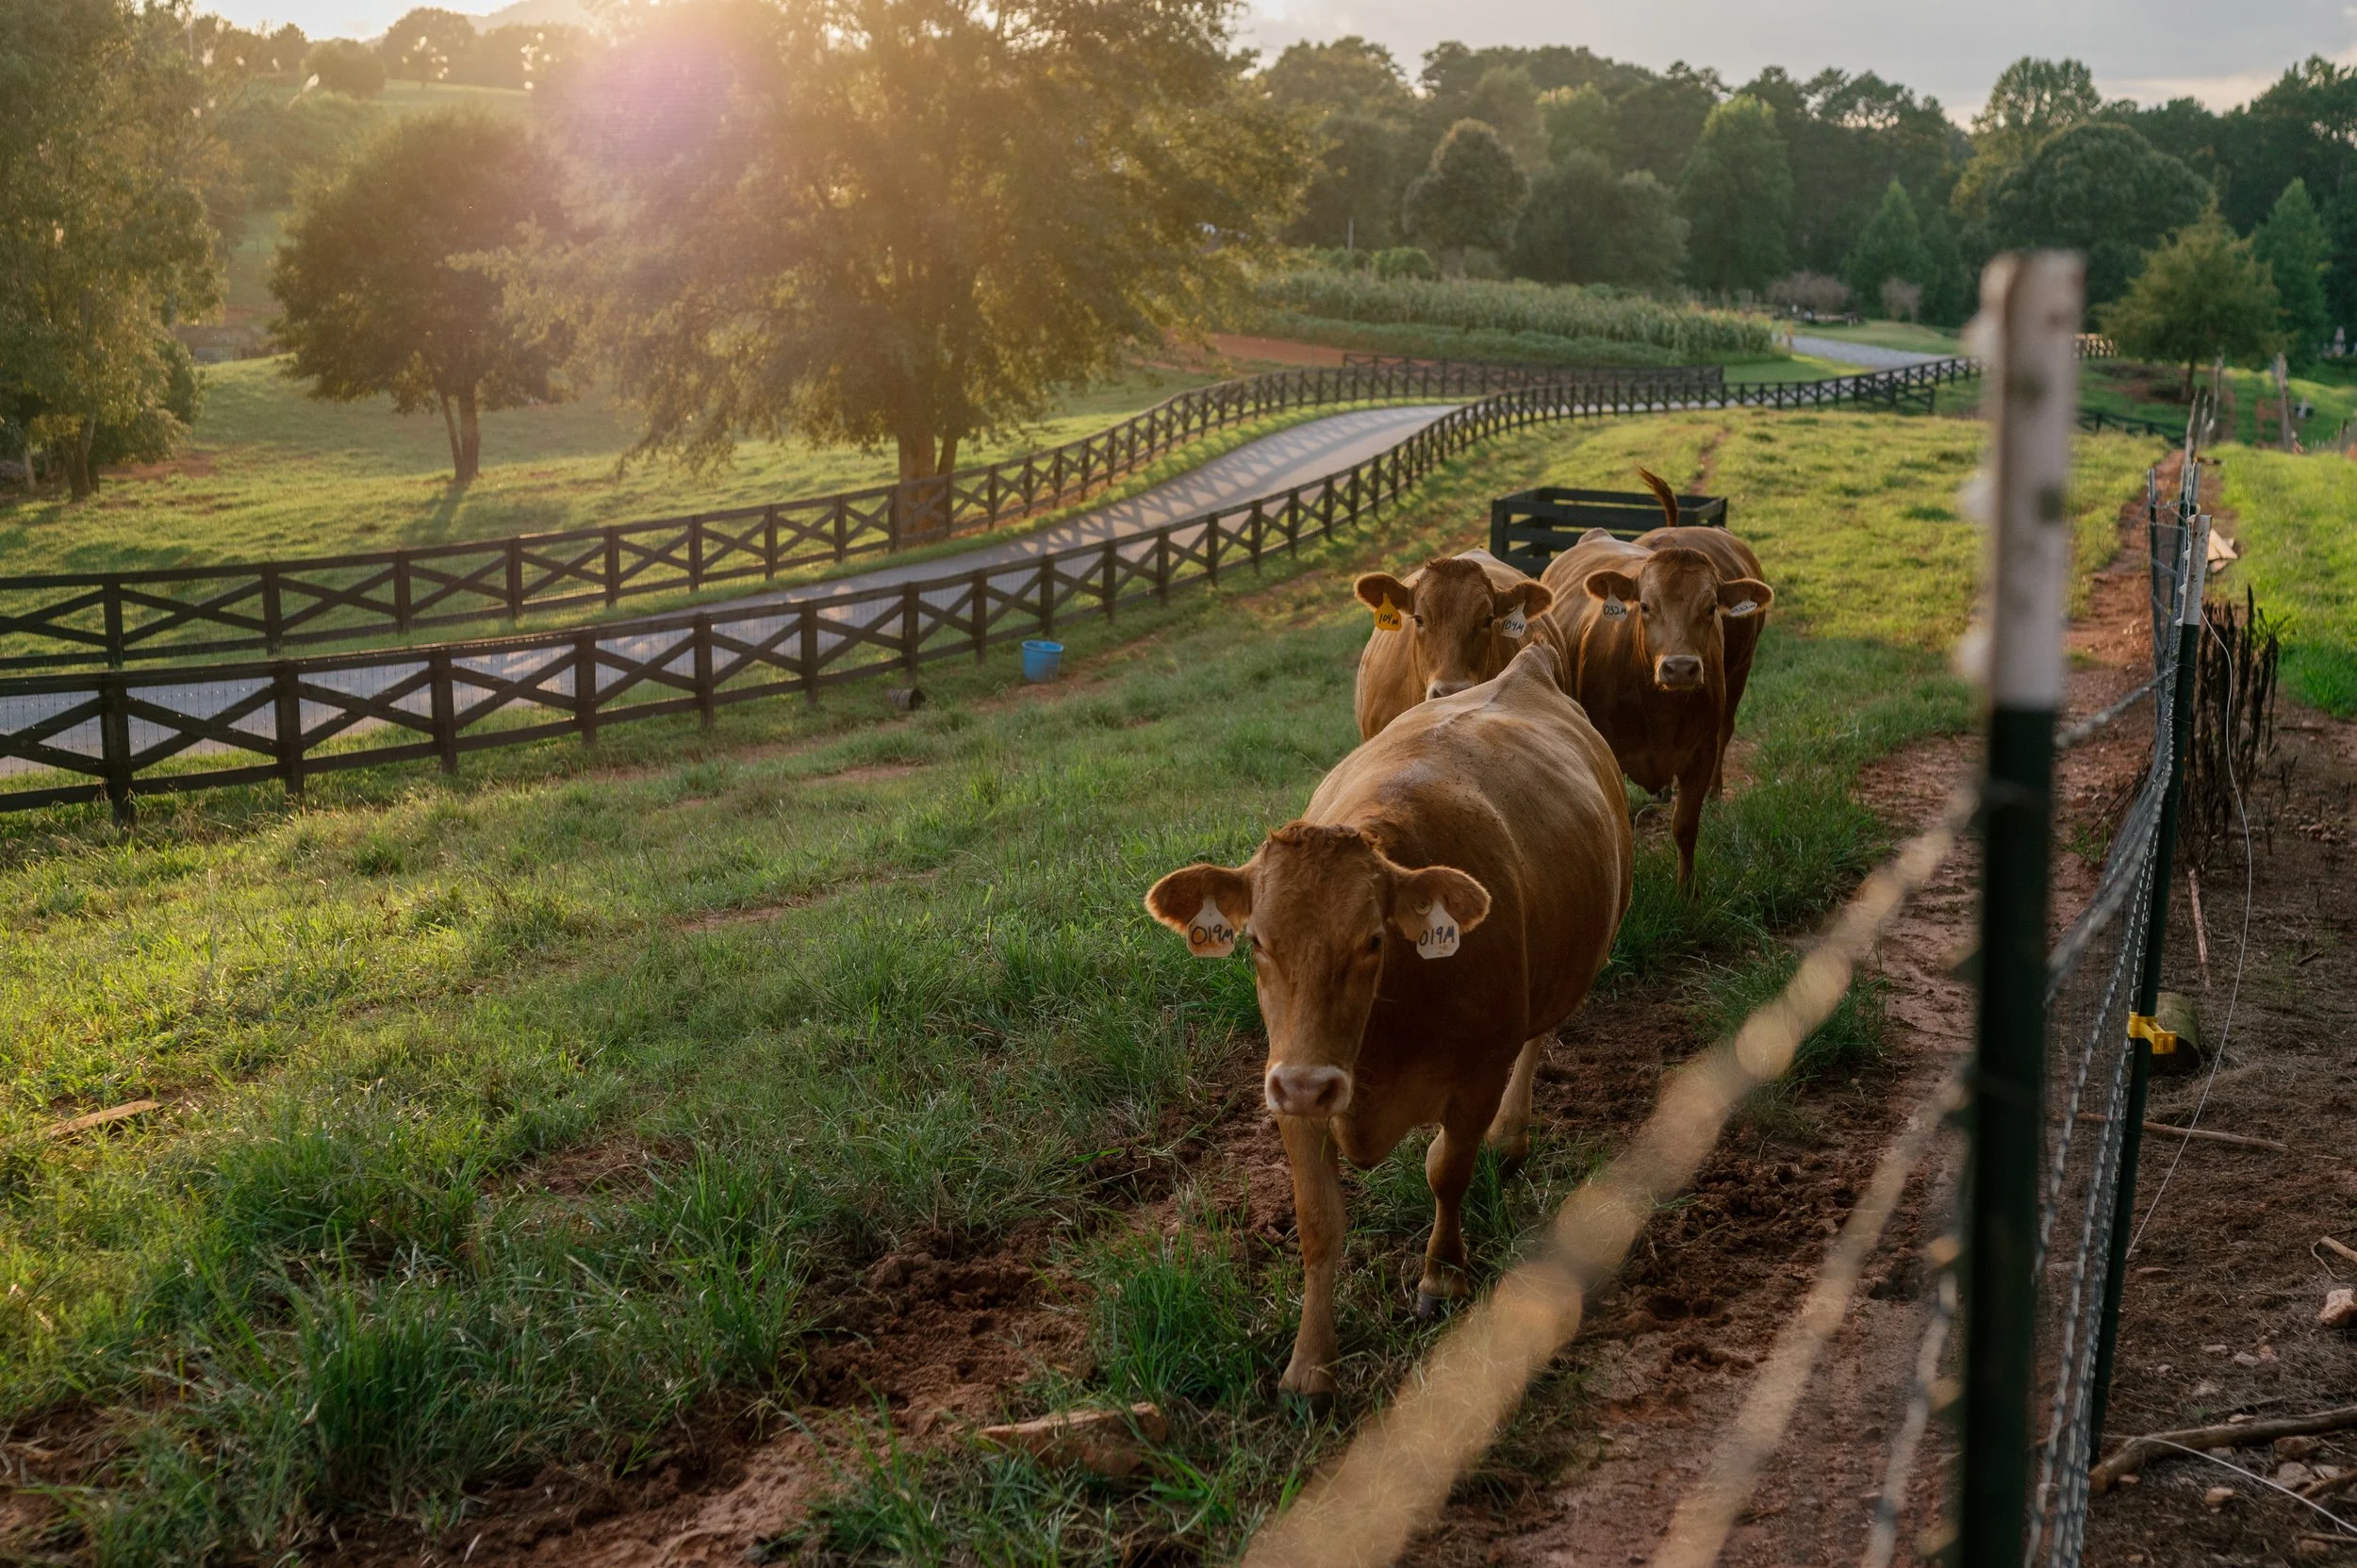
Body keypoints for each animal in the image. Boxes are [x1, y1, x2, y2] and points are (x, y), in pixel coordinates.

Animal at [1144, 646, 1632, 1407]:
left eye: (1373, 940)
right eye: (1256, 941)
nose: (1309, 1083)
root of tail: (1527, 662)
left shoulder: (1476, 1074)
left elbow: (1446, 1171)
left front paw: (1442, 1276)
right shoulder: (1292, 1090)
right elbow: (1319, 1224)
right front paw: (1310, 1365)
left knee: (1537, 1040)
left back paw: (1511, 1135)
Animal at [1535, 468, 1773, 889]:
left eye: (1711, 607)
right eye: (1644, 606)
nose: (1679, 667)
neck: (1660, 708)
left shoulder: (1700, 753)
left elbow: (1685, 827)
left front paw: (1686, 893)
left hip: (1740, 671)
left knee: (1727, 729)